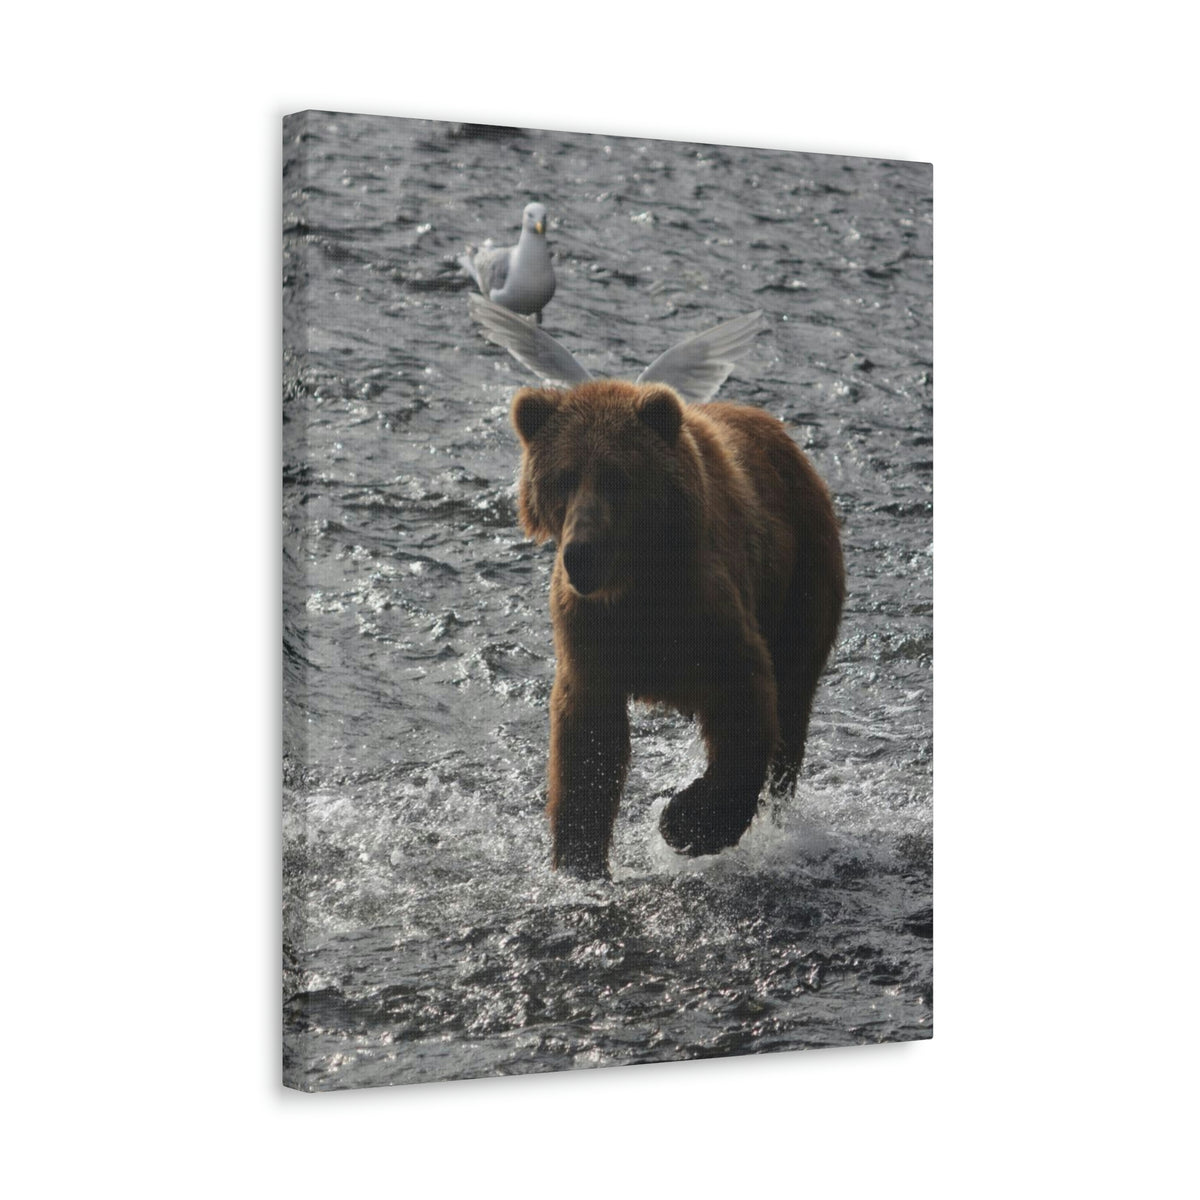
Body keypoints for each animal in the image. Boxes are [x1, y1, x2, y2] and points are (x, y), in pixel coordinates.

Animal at [511, 378, 845, 879]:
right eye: (563, 477)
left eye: (616, 476)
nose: (581, 553)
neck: (637, 583)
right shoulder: (590, 628)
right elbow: (589, 738)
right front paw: (579, 859)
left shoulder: (704, 605)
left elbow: (743, 696)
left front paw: (686, 821)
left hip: (802, 577)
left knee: (791, 700)